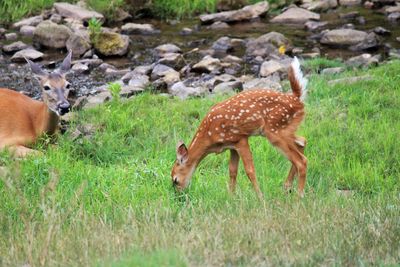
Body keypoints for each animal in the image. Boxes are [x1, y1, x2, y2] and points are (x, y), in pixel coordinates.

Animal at [170, 57, 308, 199]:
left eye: (175, 180)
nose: (179, 196)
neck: (210, 136)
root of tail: (297, 99)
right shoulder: (232, 145)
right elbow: (232, 171)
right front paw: (231, 196)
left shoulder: (240, 138)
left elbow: (250, 170)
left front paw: (260, 197)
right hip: (285, 128)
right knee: (302, 141)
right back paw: (287, 187)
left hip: (275, 131)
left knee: (301, 160)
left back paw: (299, 196)